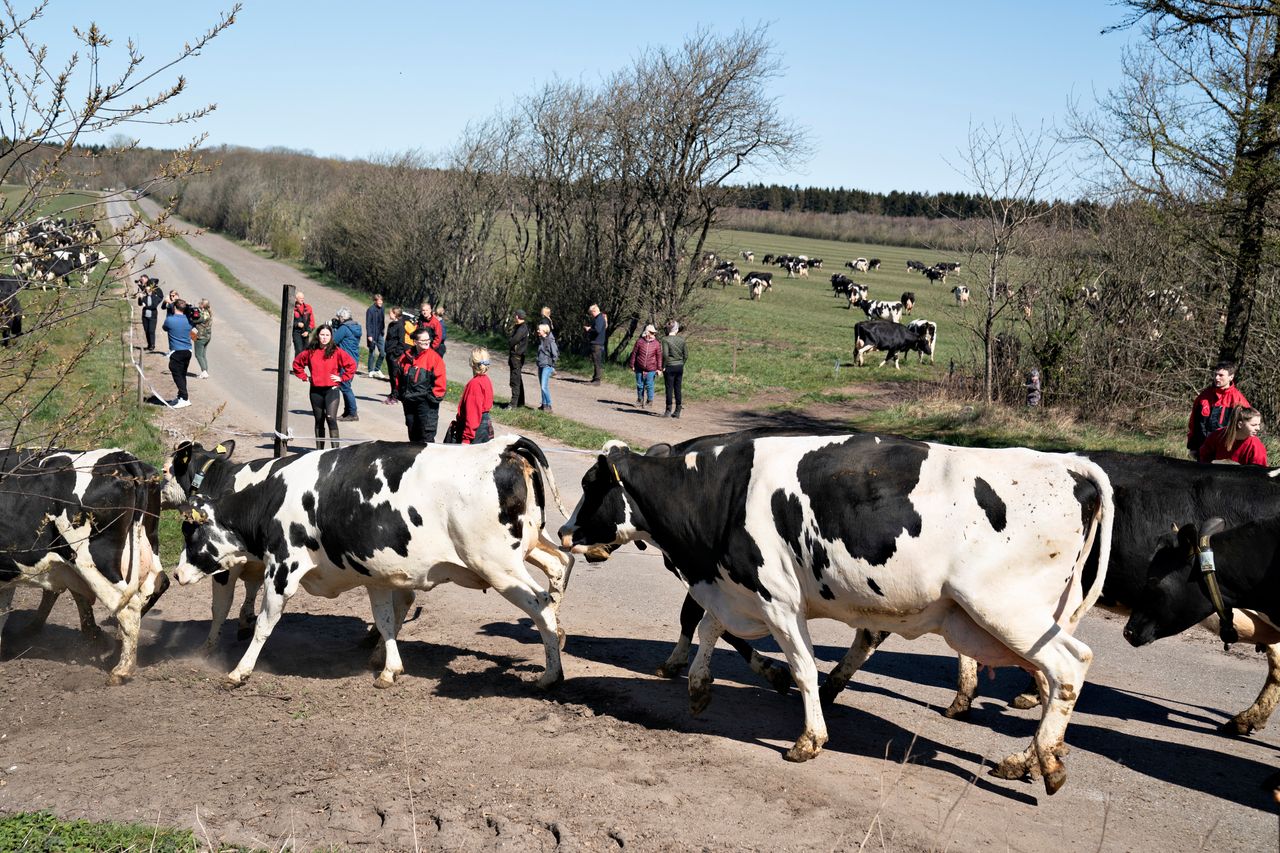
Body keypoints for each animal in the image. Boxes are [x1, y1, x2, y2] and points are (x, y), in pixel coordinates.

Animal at [0, 448, 165, 681]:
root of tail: (120, 456)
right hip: (146, 543)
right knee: (157, 583)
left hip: (92, 559)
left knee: (128, 606)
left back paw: (121, 670)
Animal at [172, 435, 573, 686]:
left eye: (189, 532)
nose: (175, 574)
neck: (271, 495)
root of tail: (501, 447)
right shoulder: (377, 576)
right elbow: (385, 621)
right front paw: (389, 669)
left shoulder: (283, 567)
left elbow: (262, 623)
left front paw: (239, 671)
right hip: (521, 551)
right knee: (557, 571)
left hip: (498, 566)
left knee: (541, 603)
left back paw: (551, 674)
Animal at [558, 435, 1111, 794]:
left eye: (591, 485)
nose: (563, 532)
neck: (722, 493)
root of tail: (1068, 464)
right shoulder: (736, 586)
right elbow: (710, 626)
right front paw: (697, 687)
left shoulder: (777, 597)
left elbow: (801, 667)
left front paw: (809, 738)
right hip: (1017, 618)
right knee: (1050, 682)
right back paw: (1027, 760)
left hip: (1006, 611)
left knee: (1069, 668)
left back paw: (1047, 765)